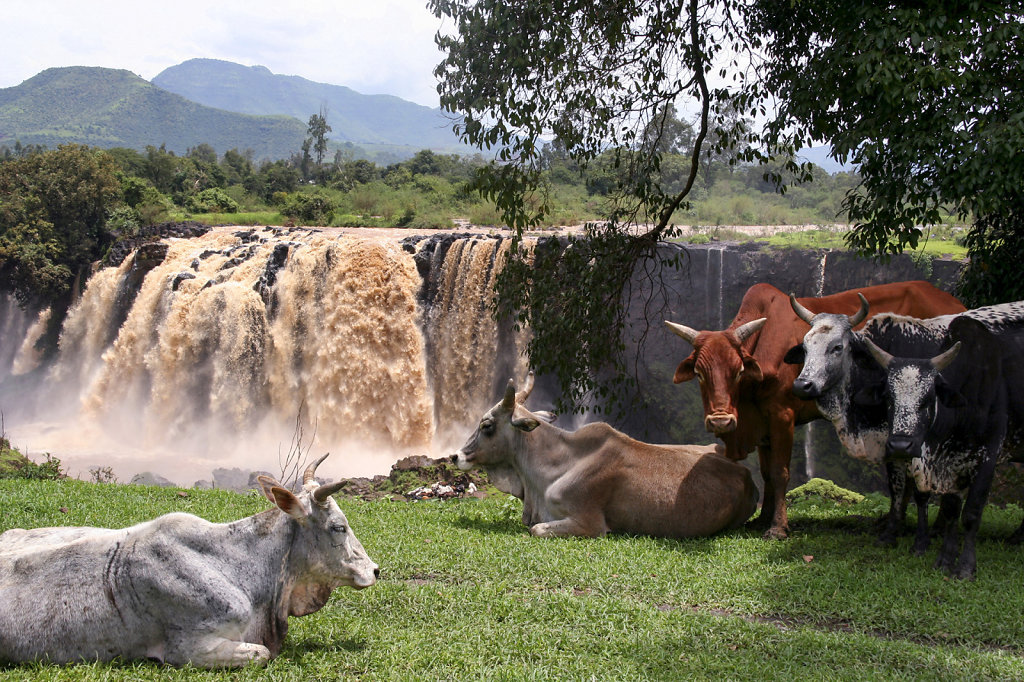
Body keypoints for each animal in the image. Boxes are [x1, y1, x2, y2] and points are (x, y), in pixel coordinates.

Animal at [667, 280, 962, 536]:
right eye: (699, 373)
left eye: (738, 371)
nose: (721, 421)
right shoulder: (763, 424)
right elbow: (766, 473)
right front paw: (762, 519)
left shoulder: (782, 416)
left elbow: (780, 472)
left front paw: (778, 528)